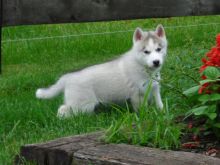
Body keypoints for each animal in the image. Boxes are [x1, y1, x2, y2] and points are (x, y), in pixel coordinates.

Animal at [36, 24, 168, 117]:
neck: (142, 66)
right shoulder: (138, 94)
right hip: (82, 105)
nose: (156, 62)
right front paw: (145, 117)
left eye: (159, 49)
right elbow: (142, 109)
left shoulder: (155, 87)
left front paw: (162, 113)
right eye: (146, 52)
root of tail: (67, 77)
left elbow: (159, 102)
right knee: (63, 109)